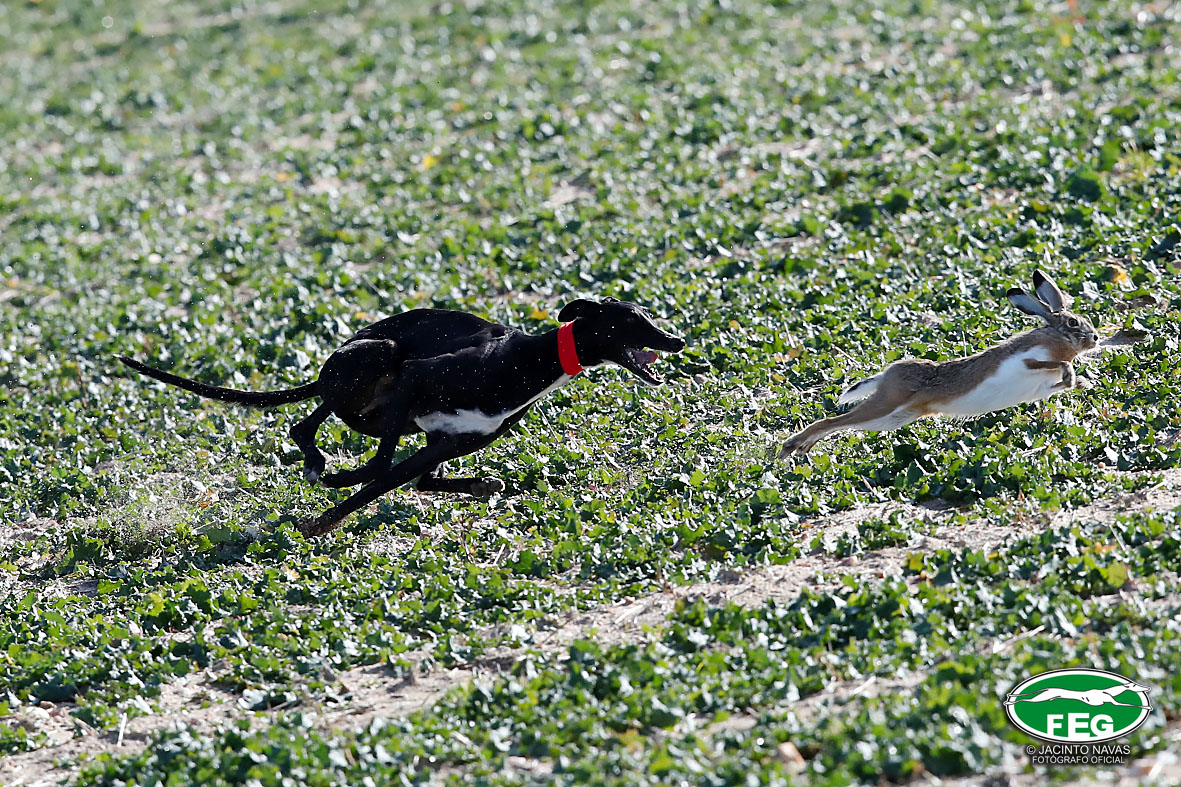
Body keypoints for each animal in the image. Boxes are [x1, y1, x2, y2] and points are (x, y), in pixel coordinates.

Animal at [120, 297, 684, 536]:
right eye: (631, 319)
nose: (677, 340)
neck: (529, 361)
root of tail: (332, 360)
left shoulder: (448, 442)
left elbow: (404, 479)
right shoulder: (415, 381)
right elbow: (378, 475)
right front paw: (323, 516)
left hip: (387, 402)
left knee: (367, 448)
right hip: (378, 356)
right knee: (308, 424)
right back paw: (320, 465)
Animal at [779, 270, 1141, 456]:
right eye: (1072, 324)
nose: (1095, 338)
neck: (1055, 340)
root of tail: (887, 374)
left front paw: (1077, 382)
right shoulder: (1027, 361)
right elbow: (1050, 366)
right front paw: (1069, 374)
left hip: (892, 418)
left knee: (846, 424)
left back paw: (801, 446)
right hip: (888, 403)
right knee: (832, 421)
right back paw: (790, 446)